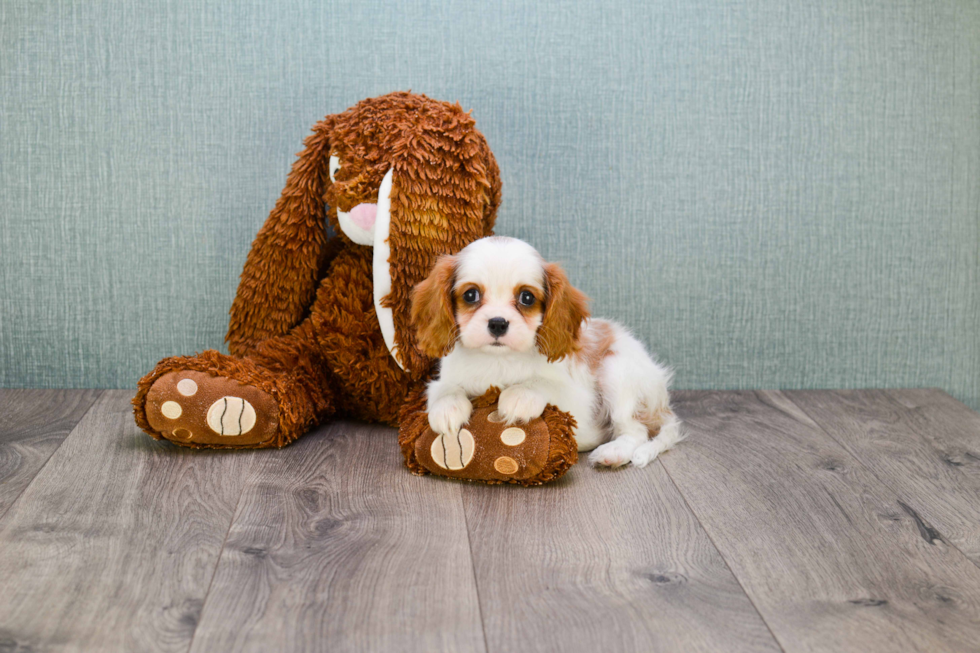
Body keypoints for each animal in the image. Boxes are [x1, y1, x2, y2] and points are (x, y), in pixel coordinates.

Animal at [412, 237, 680, 466]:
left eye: (527, 297)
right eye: (470, 295)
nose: (498, 323)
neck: (499, 360)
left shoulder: (577, 397)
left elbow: (542, 383)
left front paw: (519, 396)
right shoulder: (445, 378)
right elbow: (444, 388)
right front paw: (447, 409)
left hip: (616, 370)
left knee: (636, 430)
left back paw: (613, 452)